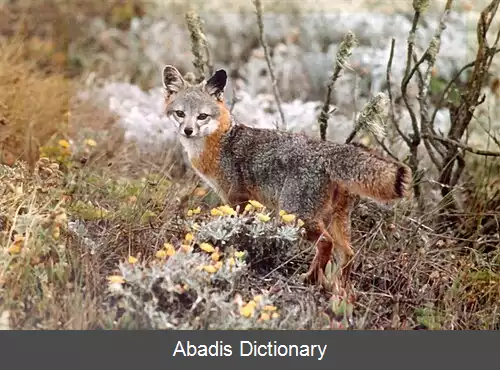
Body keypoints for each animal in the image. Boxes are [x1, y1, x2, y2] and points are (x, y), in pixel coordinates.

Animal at [162, 64, 412, 290]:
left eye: (202, 116)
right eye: (180, 114)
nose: (188, 131)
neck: (222, 142)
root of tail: (328, 150)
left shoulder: (237, 200)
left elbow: (236, 230)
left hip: (297, 215)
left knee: (326, 244)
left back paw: (310, 279)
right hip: (335, 220)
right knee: (348, 252)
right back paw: (336, 288)